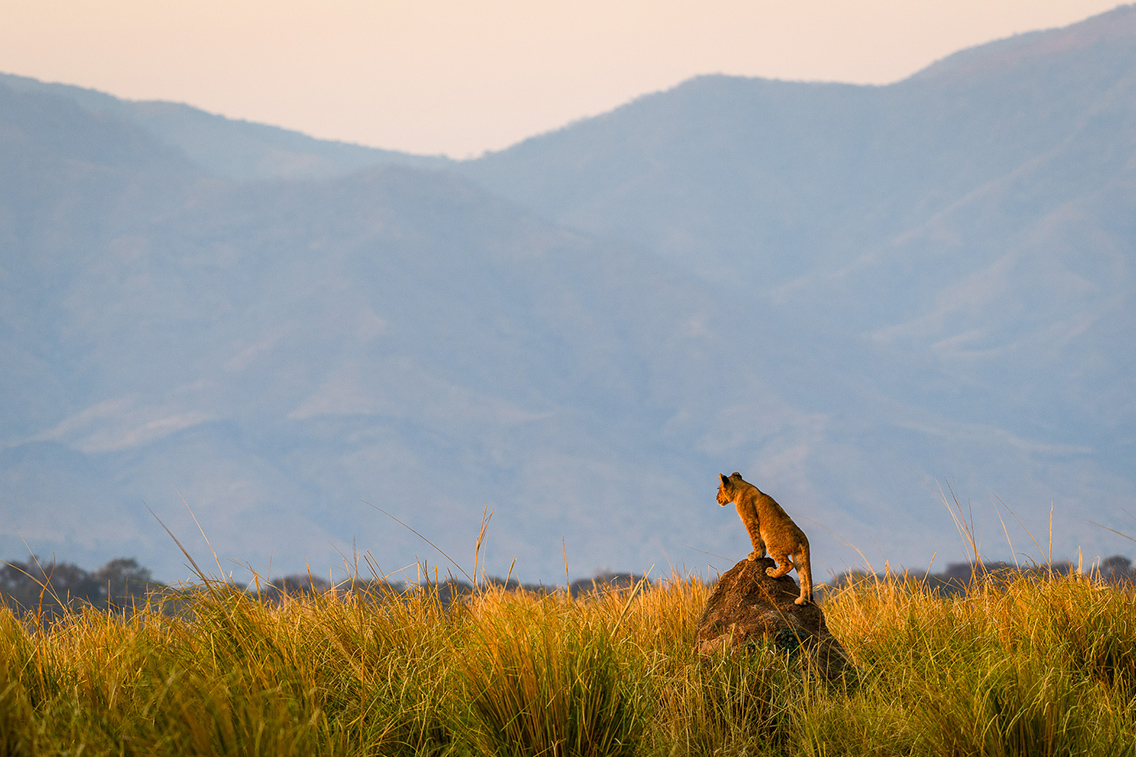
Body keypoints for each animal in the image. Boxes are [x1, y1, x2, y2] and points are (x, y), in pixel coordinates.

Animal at [717, 472, 813, 605]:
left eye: (718, 489)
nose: (716, 499)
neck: (741, 488)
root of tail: (803, 537)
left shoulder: (750, 520)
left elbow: (754, 539)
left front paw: (755, 556)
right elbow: (759, 542)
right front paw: (761, 554)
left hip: (773, 544)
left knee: (788, 565)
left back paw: (771, 572)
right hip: (798, 555)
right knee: (803, 575)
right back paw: (801, 601)